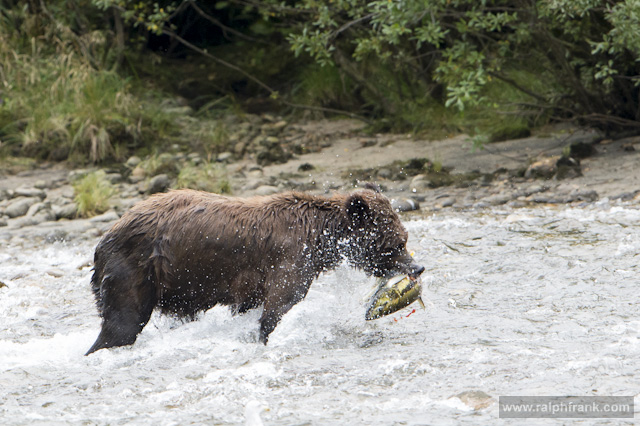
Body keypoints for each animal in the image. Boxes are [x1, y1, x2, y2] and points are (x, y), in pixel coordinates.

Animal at [85, 188, 424, 355]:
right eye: (398, 242)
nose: (418, 267)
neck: (321, 237)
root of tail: (102, 240)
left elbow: (248, 307)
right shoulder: (289, 259)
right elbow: (279, 306)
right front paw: (266, 335)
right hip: (136, 268)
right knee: (122, 323)